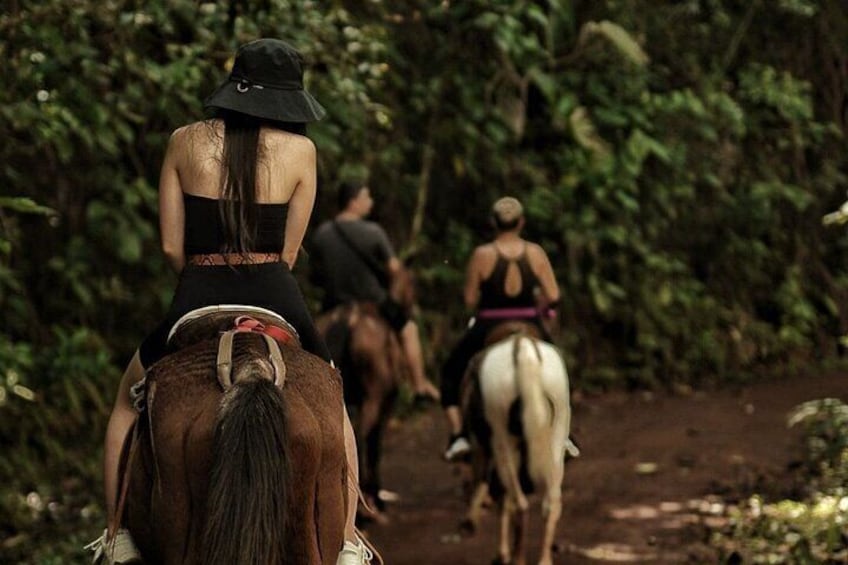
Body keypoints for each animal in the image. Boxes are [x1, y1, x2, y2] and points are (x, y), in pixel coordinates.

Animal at [314, 264, 418, 516]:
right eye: (412, 284)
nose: (409, 314)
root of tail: (348, 318)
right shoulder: (387, 402)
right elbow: (374, 445)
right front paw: (377, 497)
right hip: (374, 396)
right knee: (364, 437)